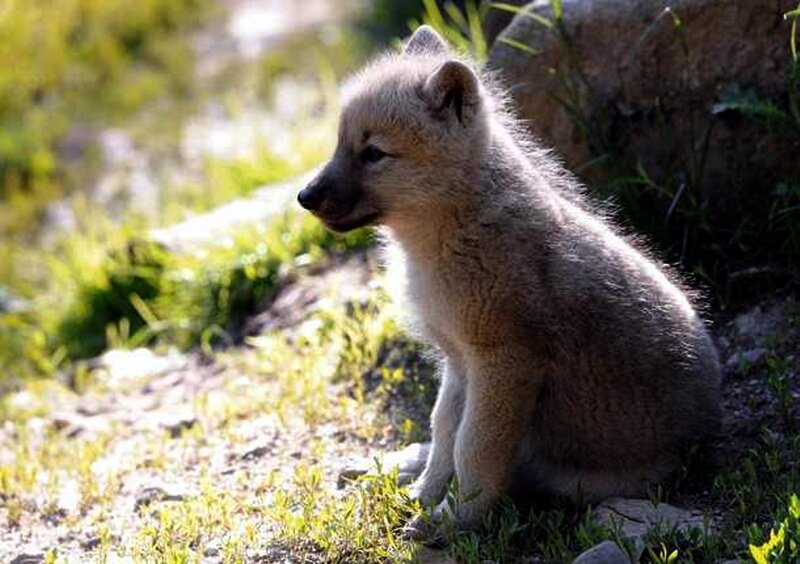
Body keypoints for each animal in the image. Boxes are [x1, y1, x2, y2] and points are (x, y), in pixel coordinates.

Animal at [297, 25, 722, 536]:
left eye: (373, 153)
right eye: (339, 145)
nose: (303, 196)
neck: (453, 235)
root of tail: (707, 436)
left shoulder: (502, 363)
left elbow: (472, 448)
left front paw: (455, 518)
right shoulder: (458, 361)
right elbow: (444, 431)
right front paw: (426, 495)